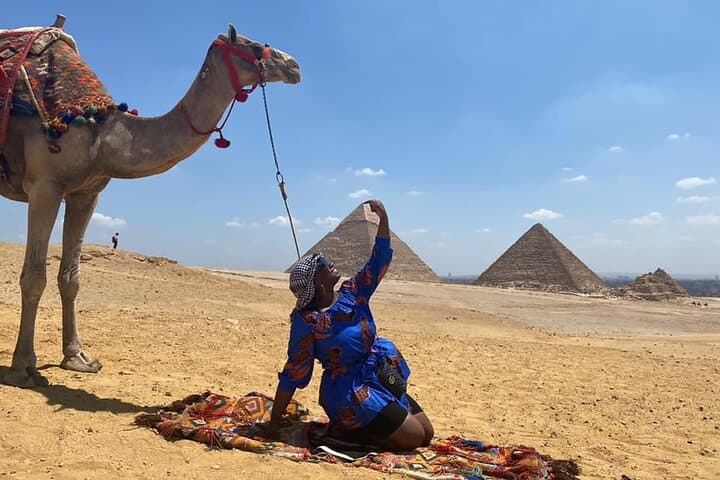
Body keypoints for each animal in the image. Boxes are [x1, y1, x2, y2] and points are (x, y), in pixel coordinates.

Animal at [0, 17, 301, 387]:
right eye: (255, 46)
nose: (294, 65)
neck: (101, 134)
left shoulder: (86, 193)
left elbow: (70, 278)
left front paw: (78, 357)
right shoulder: (45, 186)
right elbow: (34, 278)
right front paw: (24, 365)